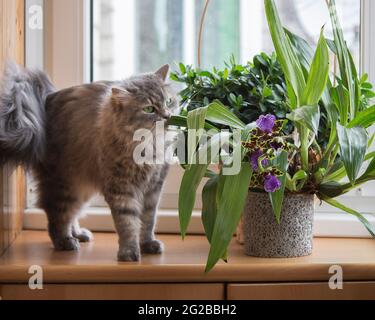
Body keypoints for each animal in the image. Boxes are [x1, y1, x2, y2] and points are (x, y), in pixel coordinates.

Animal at [0, 62, 175, 262]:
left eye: (169, 101)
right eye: (149, 109)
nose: (168, 116)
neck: (149, 145)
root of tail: (47, 99)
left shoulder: (153, 187)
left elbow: (147, 221)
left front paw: (147, 244)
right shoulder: (120, 188)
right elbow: (127, 223)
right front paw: (128, 252)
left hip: (80, 190)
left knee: (70, 214)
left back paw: (77, 234)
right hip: (64, 185)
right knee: (57, 216)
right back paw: (65, 242)